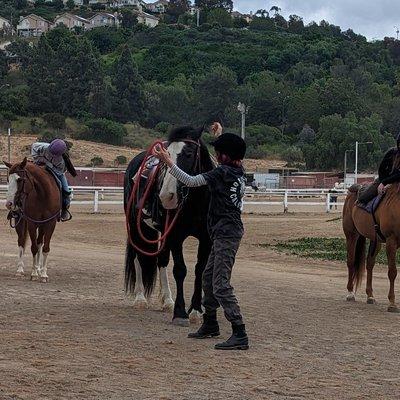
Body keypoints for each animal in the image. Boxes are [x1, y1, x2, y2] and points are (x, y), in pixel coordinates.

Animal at [123, 126, 214, 326]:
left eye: (188, 153)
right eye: (167, 156)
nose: (167, 196)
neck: (196, 202)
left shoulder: (206, 239)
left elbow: (199, 270)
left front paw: (196, 310)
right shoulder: (175, 236)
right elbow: (180, 270)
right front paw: (180, 313)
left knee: (161, 261)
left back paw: (167, 300)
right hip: (136, 226)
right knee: (138, 257)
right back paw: (140, 299)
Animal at [342, 184, 400, 312]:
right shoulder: (391, 242)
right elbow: (392, 272)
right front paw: (392, 303)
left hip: (375, 240)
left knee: (369, 264)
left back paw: (370, 296)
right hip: (351, 235)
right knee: (351, 262)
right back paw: (350, 293)